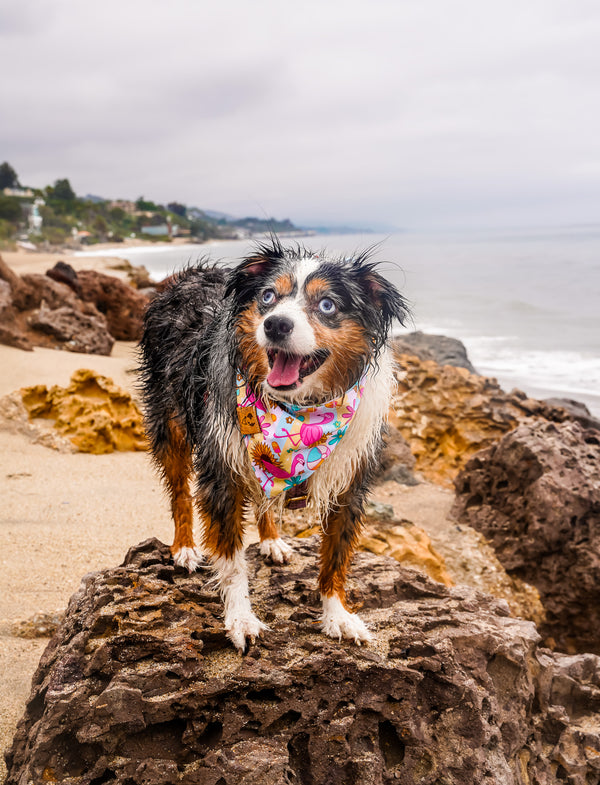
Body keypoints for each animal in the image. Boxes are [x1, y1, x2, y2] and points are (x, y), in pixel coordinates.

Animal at [139, 239, 408, 648]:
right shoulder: (222, 468)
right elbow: (231, 559)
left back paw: (271, 540)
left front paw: (337, 615)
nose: (276, 324)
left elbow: (336, 557)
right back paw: (184, 546)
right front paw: (240, 618)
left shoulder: (350, 480)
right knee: (179, 490)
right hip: (170, 420)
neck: (300, 411)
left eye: (327, 304)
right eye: (267, 296)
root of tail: (190, 274)